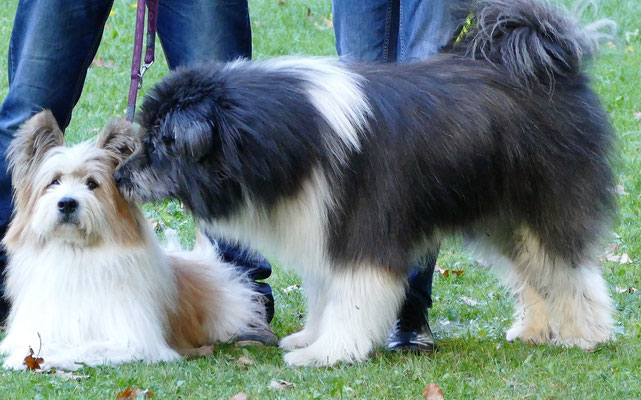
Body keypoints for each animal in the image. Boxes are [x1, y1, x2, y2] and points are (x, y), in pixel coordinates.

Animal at [0, 111, 264, 370]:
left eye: (92, 184)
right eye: (54, 181)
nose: (67, 203)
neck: (77, 252)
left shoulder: (133, 341)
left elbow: (83, 348)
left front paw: (33, 358)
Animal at [114, 0, 616, 368]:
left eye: (158, 144)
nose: (119, 176)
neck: (286, 136)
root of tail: (548, 58)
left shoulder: (361, 229)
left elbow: (351, 299)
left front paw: (328, 352)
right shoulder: (321, 226)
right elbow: (323, 294)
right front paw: (308, 339)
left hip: (545, 203)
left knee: (569, 271)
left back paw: (585, 335)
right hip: (503, 216)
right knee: (536, 272)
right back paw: (534, 330)